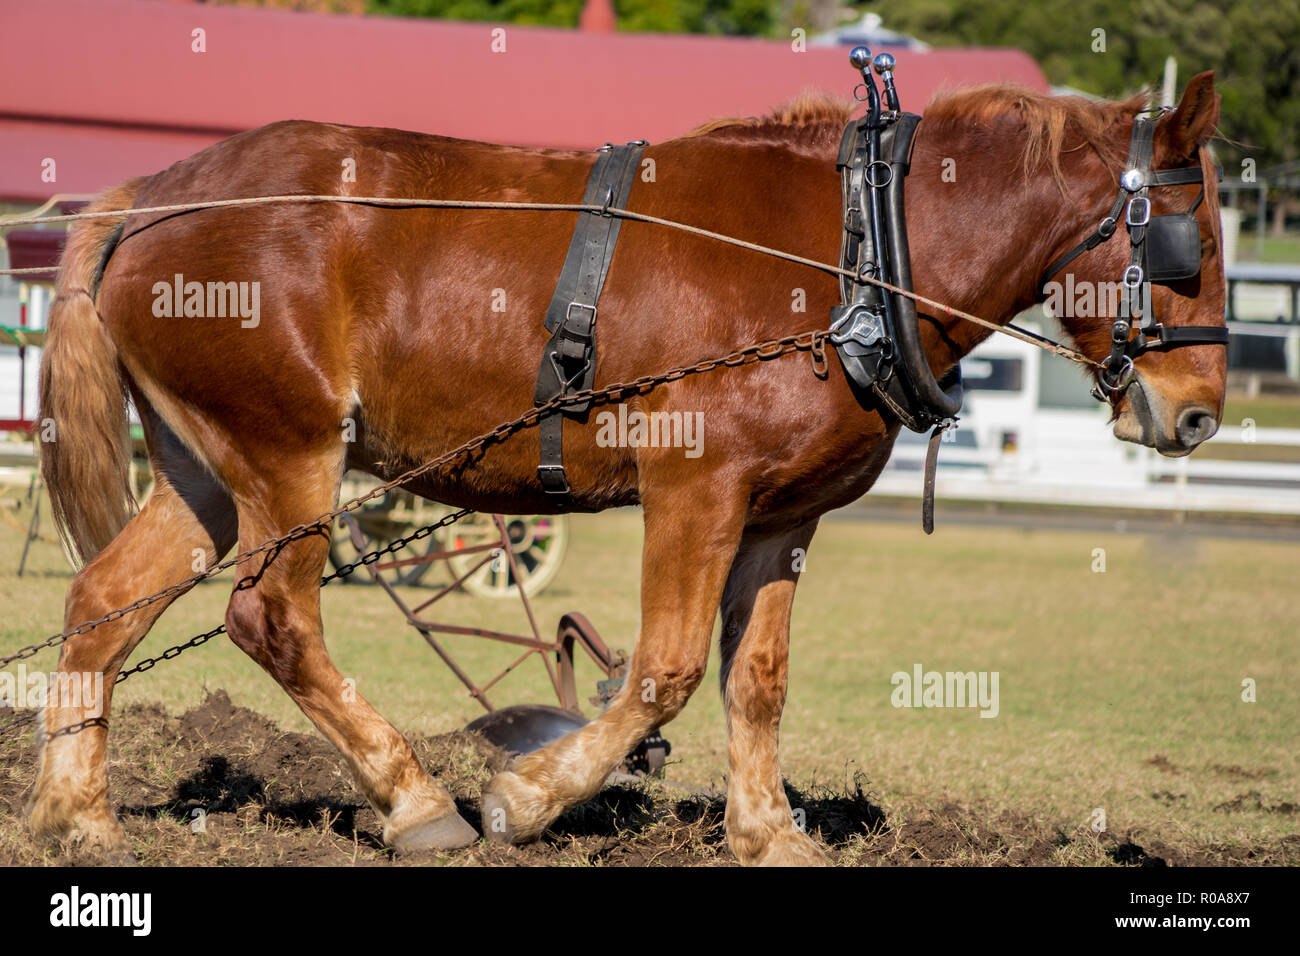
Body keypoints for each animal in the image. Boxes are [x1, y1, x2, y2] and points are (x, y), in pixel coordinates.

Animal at [32, 72, 1227, 868]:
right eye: (1191, 244)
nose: (1199, 413)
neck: (854, 250)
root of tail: (158, 195)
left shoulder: (779, 517)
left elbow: (758, 678)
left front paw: (769, 833)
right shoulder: (695, 489)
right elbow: (665, 669)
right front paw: (527, 797)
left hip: (205, 468)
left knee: (103, 601)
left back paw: (76, 813)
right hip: (291, 457)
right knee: (271, 618)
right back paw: (418, 803)